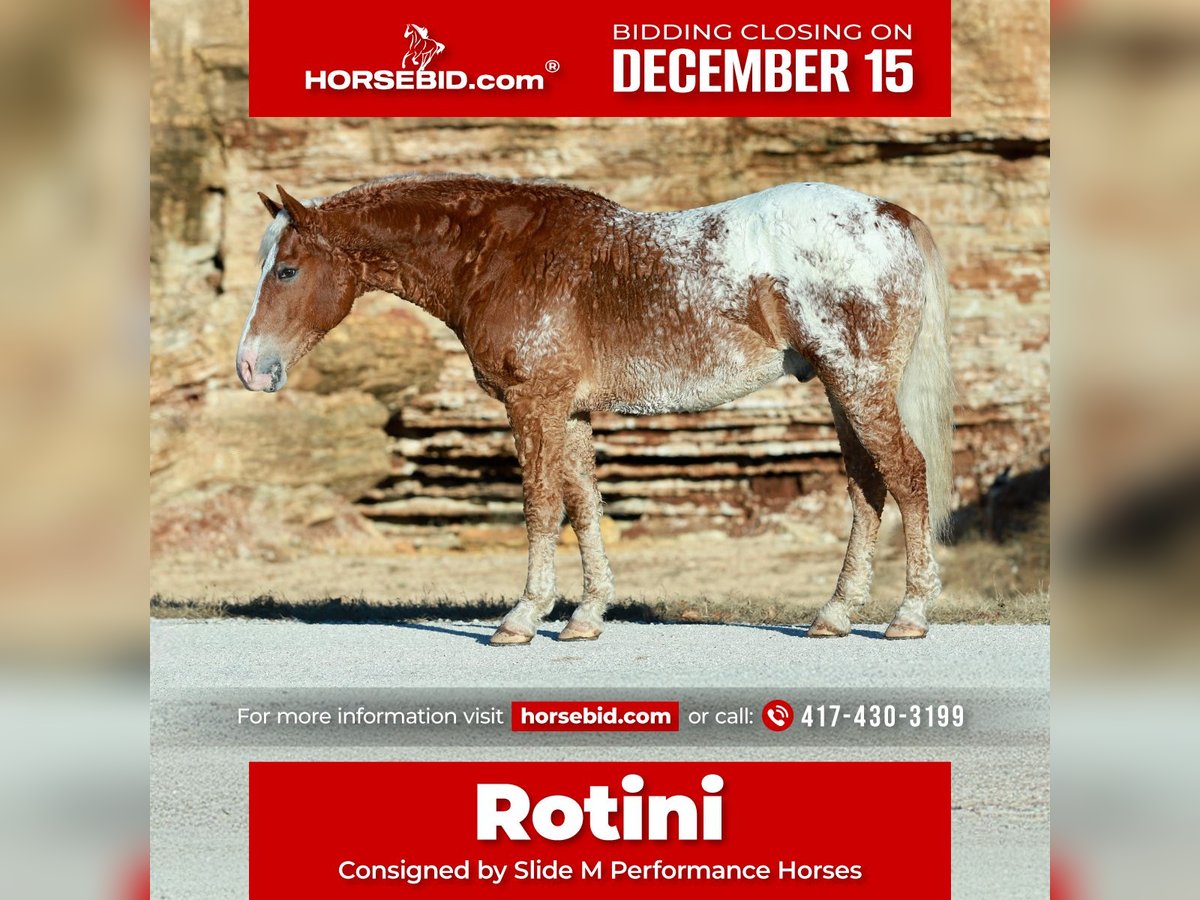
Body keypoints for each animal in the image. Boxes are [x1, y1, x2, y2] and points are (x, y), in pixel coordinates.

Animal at [235, 174, 955, 644]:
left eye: (288, 270)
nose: (250, 366)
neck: (500, 256)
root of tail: (891, 213)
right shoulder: (570, 411)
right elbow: (583, 503)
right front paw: (586, 615)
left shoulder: (534, 403)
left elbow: (540, 505)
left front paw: (523, 617)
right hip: (841, 388)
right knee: (866, 486)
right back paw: (834, 615)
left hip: (858, 384)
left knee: (907, 474)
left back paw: (909, 615)